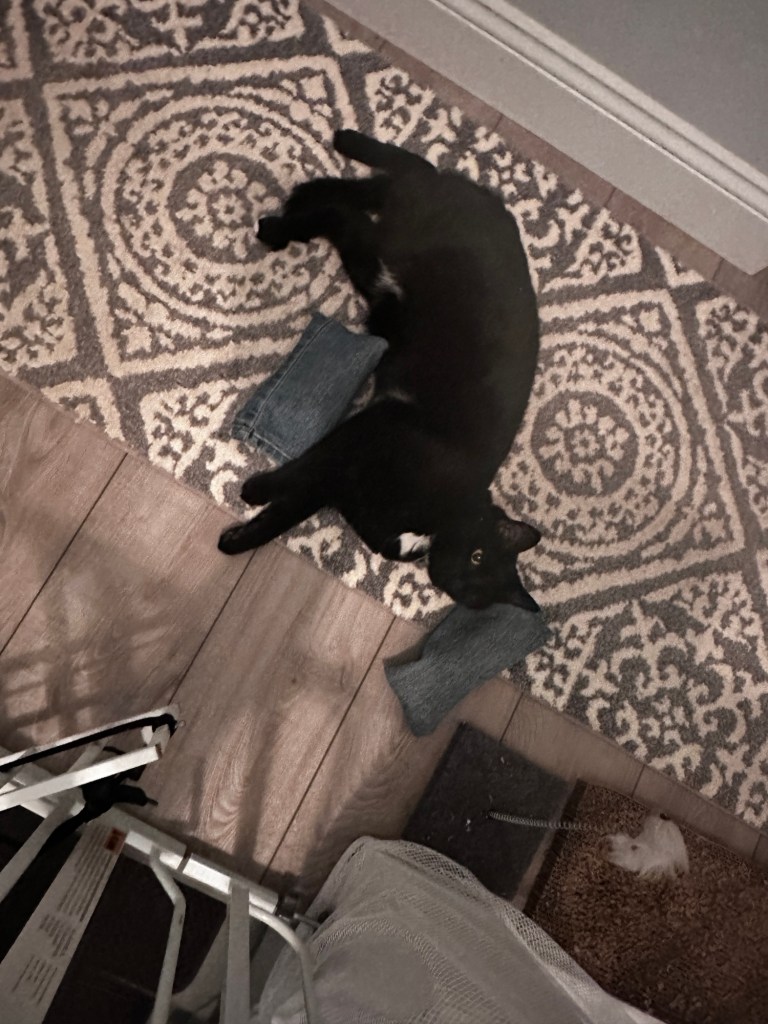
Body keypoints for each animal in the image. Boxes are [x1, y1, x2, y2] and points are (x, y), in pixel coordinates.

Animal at [219, 129, 542, 611]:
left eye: (474, 594)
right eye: (479, 556)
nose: (456, 578)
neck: (434, 522)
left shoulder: (338, 483)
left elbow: (284, 515)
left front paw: (236, 538)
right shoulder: (365, 434)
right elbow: (299, 472)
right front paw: (255, 491)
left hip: (380, 275)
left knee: (362, 197)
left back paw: (303, 197)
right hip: (396, 247)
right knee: (375, 191)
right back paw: (289, 213)